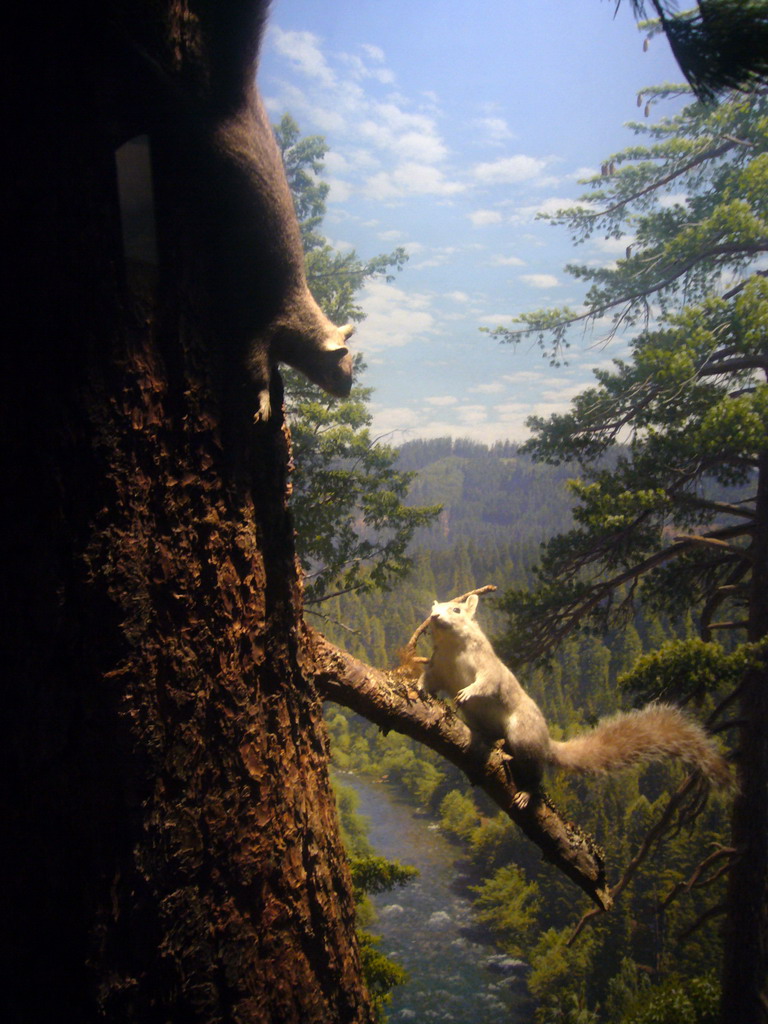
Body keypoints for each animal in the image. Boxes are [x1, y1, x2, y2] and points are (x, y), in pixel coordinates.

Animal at [417, 593, 737, 806]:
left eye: (457, 608)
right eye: (433, 606)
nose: (433, 616)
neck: (454, 650)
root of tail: (546, 742)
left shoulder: (490, 669)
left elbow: (486, 683)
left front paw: (467, 692)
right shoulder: (439, 668)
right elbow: (430, 680)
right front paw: (418, 688)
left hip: (523, 734)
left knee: (535, 772)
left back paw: (526, 792)